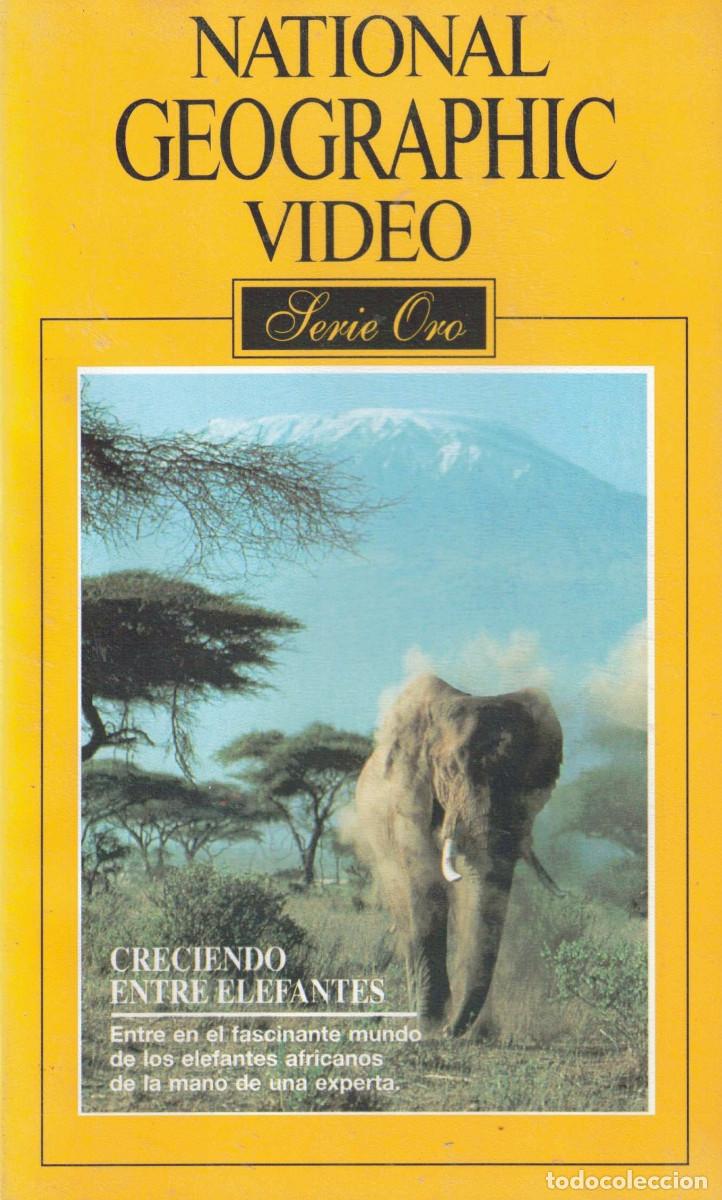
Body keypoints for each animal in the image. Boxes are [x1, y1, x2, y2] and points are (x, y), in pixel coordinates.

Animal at [352, 674, 563, 1038]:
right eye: (450, 771)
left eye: (529, 781)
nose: (451, 1030)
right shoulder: (410, 795)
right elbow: (424, 890)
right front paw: (430, 1025)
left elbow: (472, 900)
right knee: (404, 913)